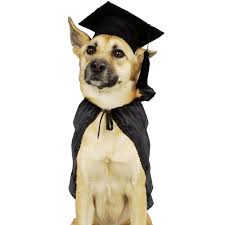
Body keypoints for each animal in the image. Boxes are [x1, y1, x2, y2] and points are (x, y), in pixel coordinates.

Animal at [68, 16, 156, 225]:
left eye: (118, 53)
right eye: (90, 49)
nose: (96, 66)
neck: (108, 109)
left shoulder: (137, 191)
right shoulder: (84, 190)